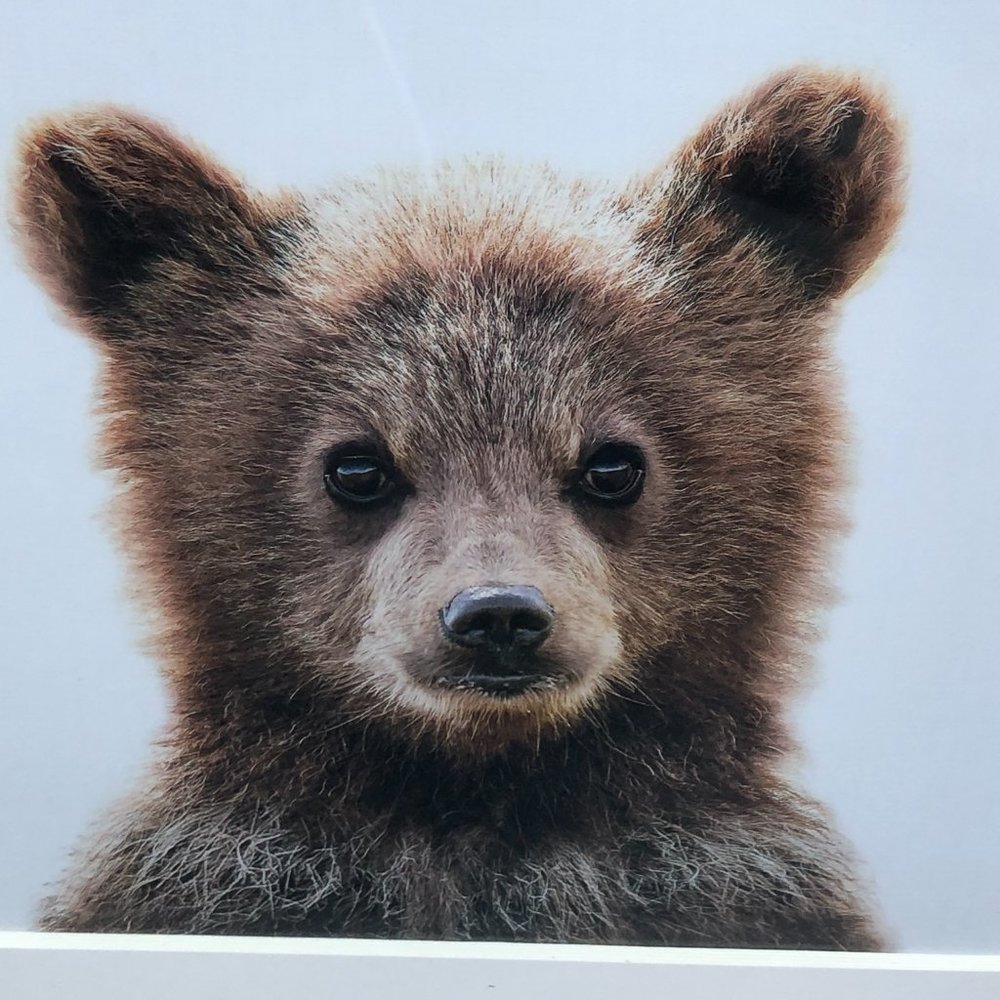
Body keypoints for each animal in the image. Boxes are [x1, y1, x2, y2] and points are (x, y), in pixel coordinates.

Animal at [11, 66, 904, 948]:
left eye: (613, 463)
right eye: (357, 465)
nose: (499, 615)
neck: (470, 787)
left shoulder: (726, 884)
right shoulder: (219, 871)